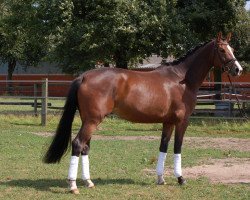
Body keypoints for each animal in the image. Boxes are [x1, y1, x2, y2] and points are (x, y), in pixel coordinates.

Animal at [43, 32, 242, 194]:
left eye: (232, 49)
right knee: (77, 144)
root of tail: (84, 76)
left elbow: (163, 147)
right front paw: (181, 179)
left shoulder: (168, 122)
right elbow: (177, 147)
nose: (238, 69)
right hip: (92, 120)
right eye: (222, 50)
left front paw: (161, 179)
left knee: (84, 147)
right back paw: (73, 185)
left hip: (88, 120)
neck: (182, 79)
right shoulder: (182, 121)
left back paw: (89, 182)